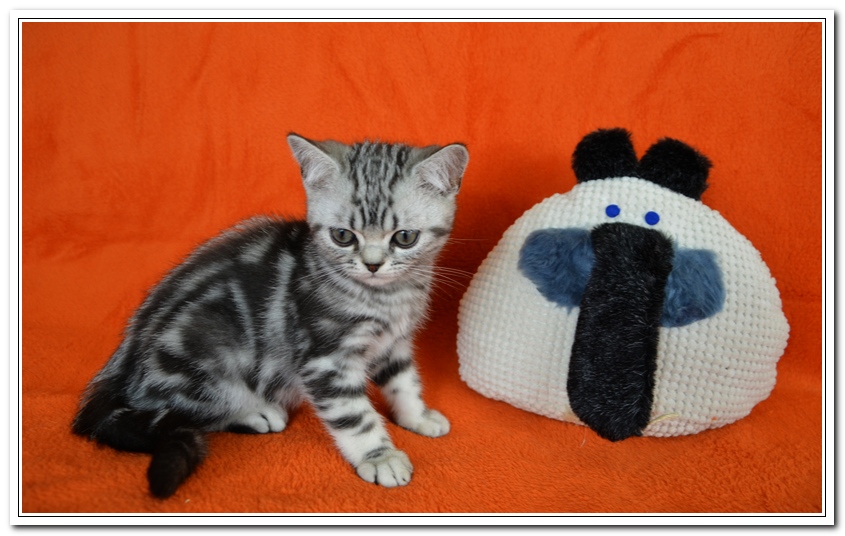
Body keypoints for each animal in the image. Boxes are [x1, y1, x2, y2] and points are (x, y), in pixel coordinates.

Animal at [71, 133, 469, 498]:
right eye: (343, 236)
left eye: (404, 237)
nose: (372, 265)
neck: (387, 298)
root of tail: (120, 369)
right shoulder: (325, 358)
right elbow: (354, 415)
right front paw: (379, 457)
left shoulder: (395, 342)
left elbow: (404, 380)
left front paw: (417, 416)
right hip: (206, 345)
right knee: (181, 406)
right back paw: (255, 411)